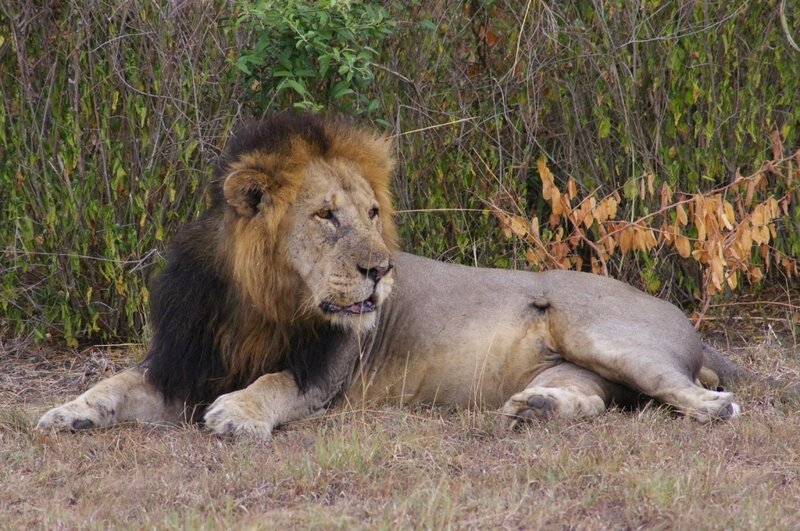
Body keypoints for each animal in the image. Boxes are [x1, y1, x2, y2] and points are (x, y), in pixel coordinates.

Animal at [36, 113, 791, 439]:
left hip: (598, 329)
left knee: (691, 391)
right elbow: (115, 382)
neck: (261, 299)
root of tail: (685, 322)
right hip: (578, 365)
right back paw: (536, 409)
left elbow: (274, 382)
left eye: (373, 213)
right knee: (600, 398)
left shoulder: (324, 373)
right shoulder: (181, 361)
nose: (381, 270)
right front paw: (68, 409)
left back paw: (711, 409)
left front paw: (238, 412)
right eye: (327, 216)